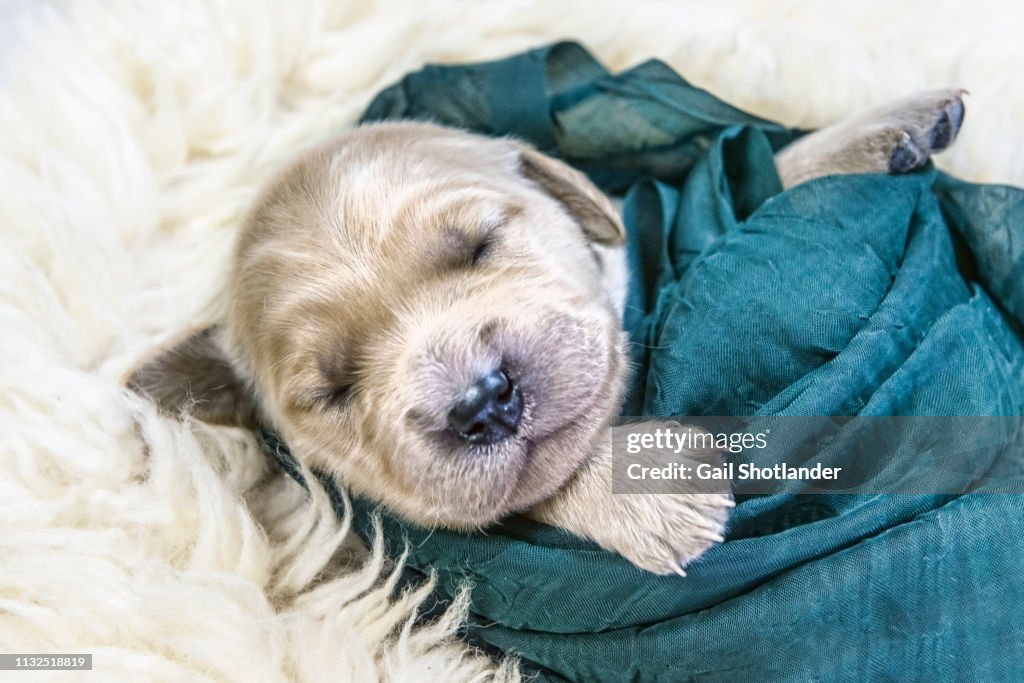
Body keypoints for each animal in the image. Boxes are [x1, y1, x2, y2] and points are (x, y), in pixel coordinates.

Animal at [125, 88, 958, 573]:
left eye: (480, 244)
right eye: (332, 389)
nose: (481, 402)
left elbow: (741, 178)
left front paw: (882, 131)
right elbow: (536, 487)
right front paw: (650, 489)